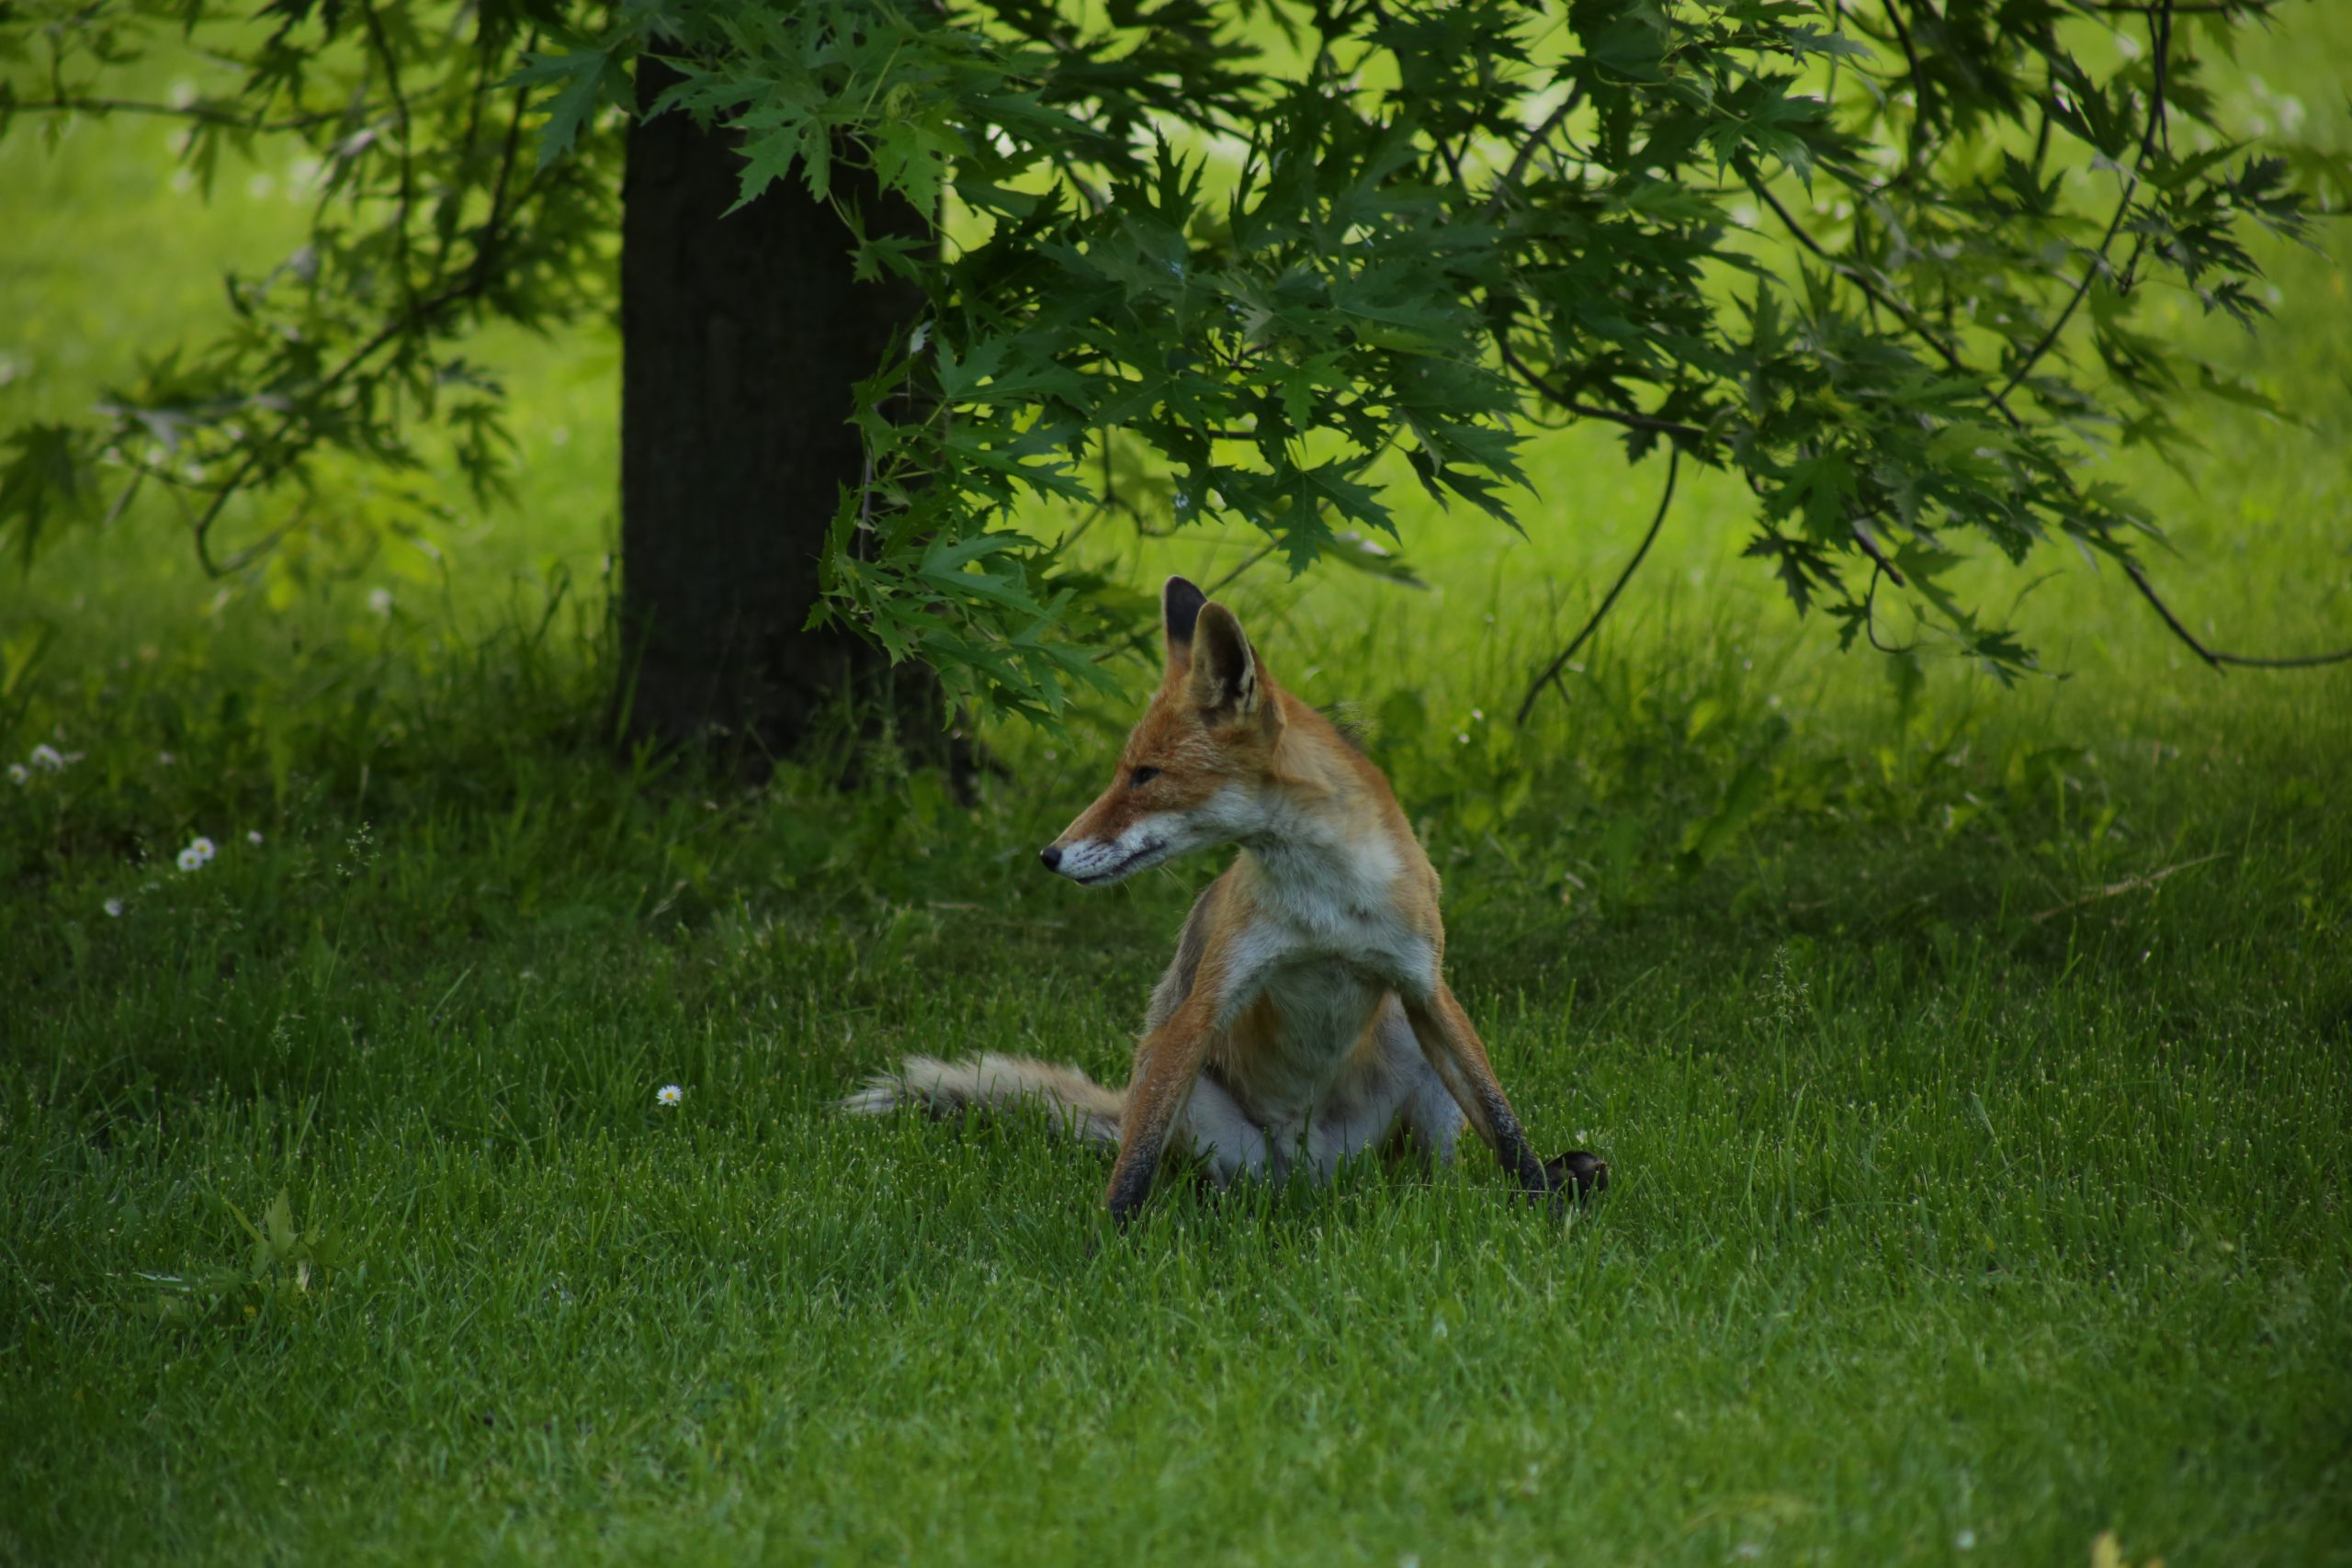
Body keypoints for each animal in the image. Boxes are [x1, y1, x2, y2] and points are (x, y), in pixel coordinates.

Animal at [842, 581, 1599, 1222]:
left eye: (1147, 775)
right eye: (1125, 771)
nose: (1050, 855)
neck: (1329, 907)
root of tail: (1312, 1178)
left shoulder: (1425, 984)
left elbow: (1502, 1121)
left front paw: (1543, 1199)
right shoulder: (1206, 1002)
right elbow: (1133, 1167)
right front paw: (1105, 1243)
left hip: (1408, 1052)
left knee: (1430, 1175)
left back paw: (1467, 1192)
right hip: (1195, 1104)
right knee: (1186, 1164)